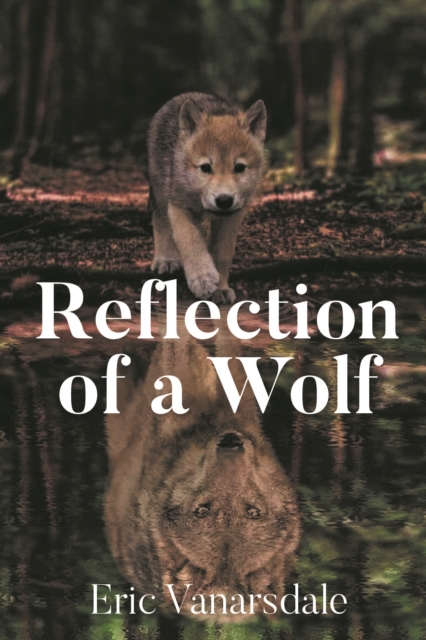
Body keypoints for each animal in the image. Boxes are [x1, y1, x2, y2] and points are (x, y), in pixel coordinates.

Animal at [147, 92, 267, 304]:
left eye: (239, 167)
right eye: (205, 167)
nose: (224, 200)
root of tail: (186, 94)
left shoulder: (233, 216)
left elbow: (222, 253)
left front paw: (220, 288)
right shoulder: (178, 206)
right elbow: (191, 241)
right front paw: (202, 279)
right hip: (160, 192)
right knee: (160, 221)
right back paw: (166, 259)